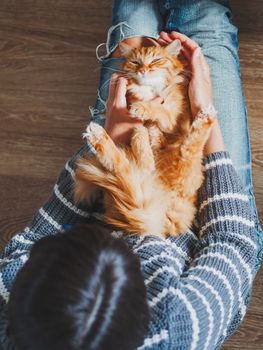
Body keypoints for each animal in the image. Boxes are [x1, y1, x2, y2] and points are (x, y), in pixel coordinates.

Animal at [73, 41, 214, 238]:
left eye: (155, 60)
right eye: (135, 62)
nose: (143, 70)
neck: (150, 91)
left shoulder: (173, 120)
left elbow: (158, 111)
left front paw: (141, 108)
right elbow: (143, 131)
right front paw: (142, 136)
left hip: (184, 159)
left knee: (189, 146)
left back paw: (205, 117)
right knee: (125, 166)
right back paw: (100, 136)